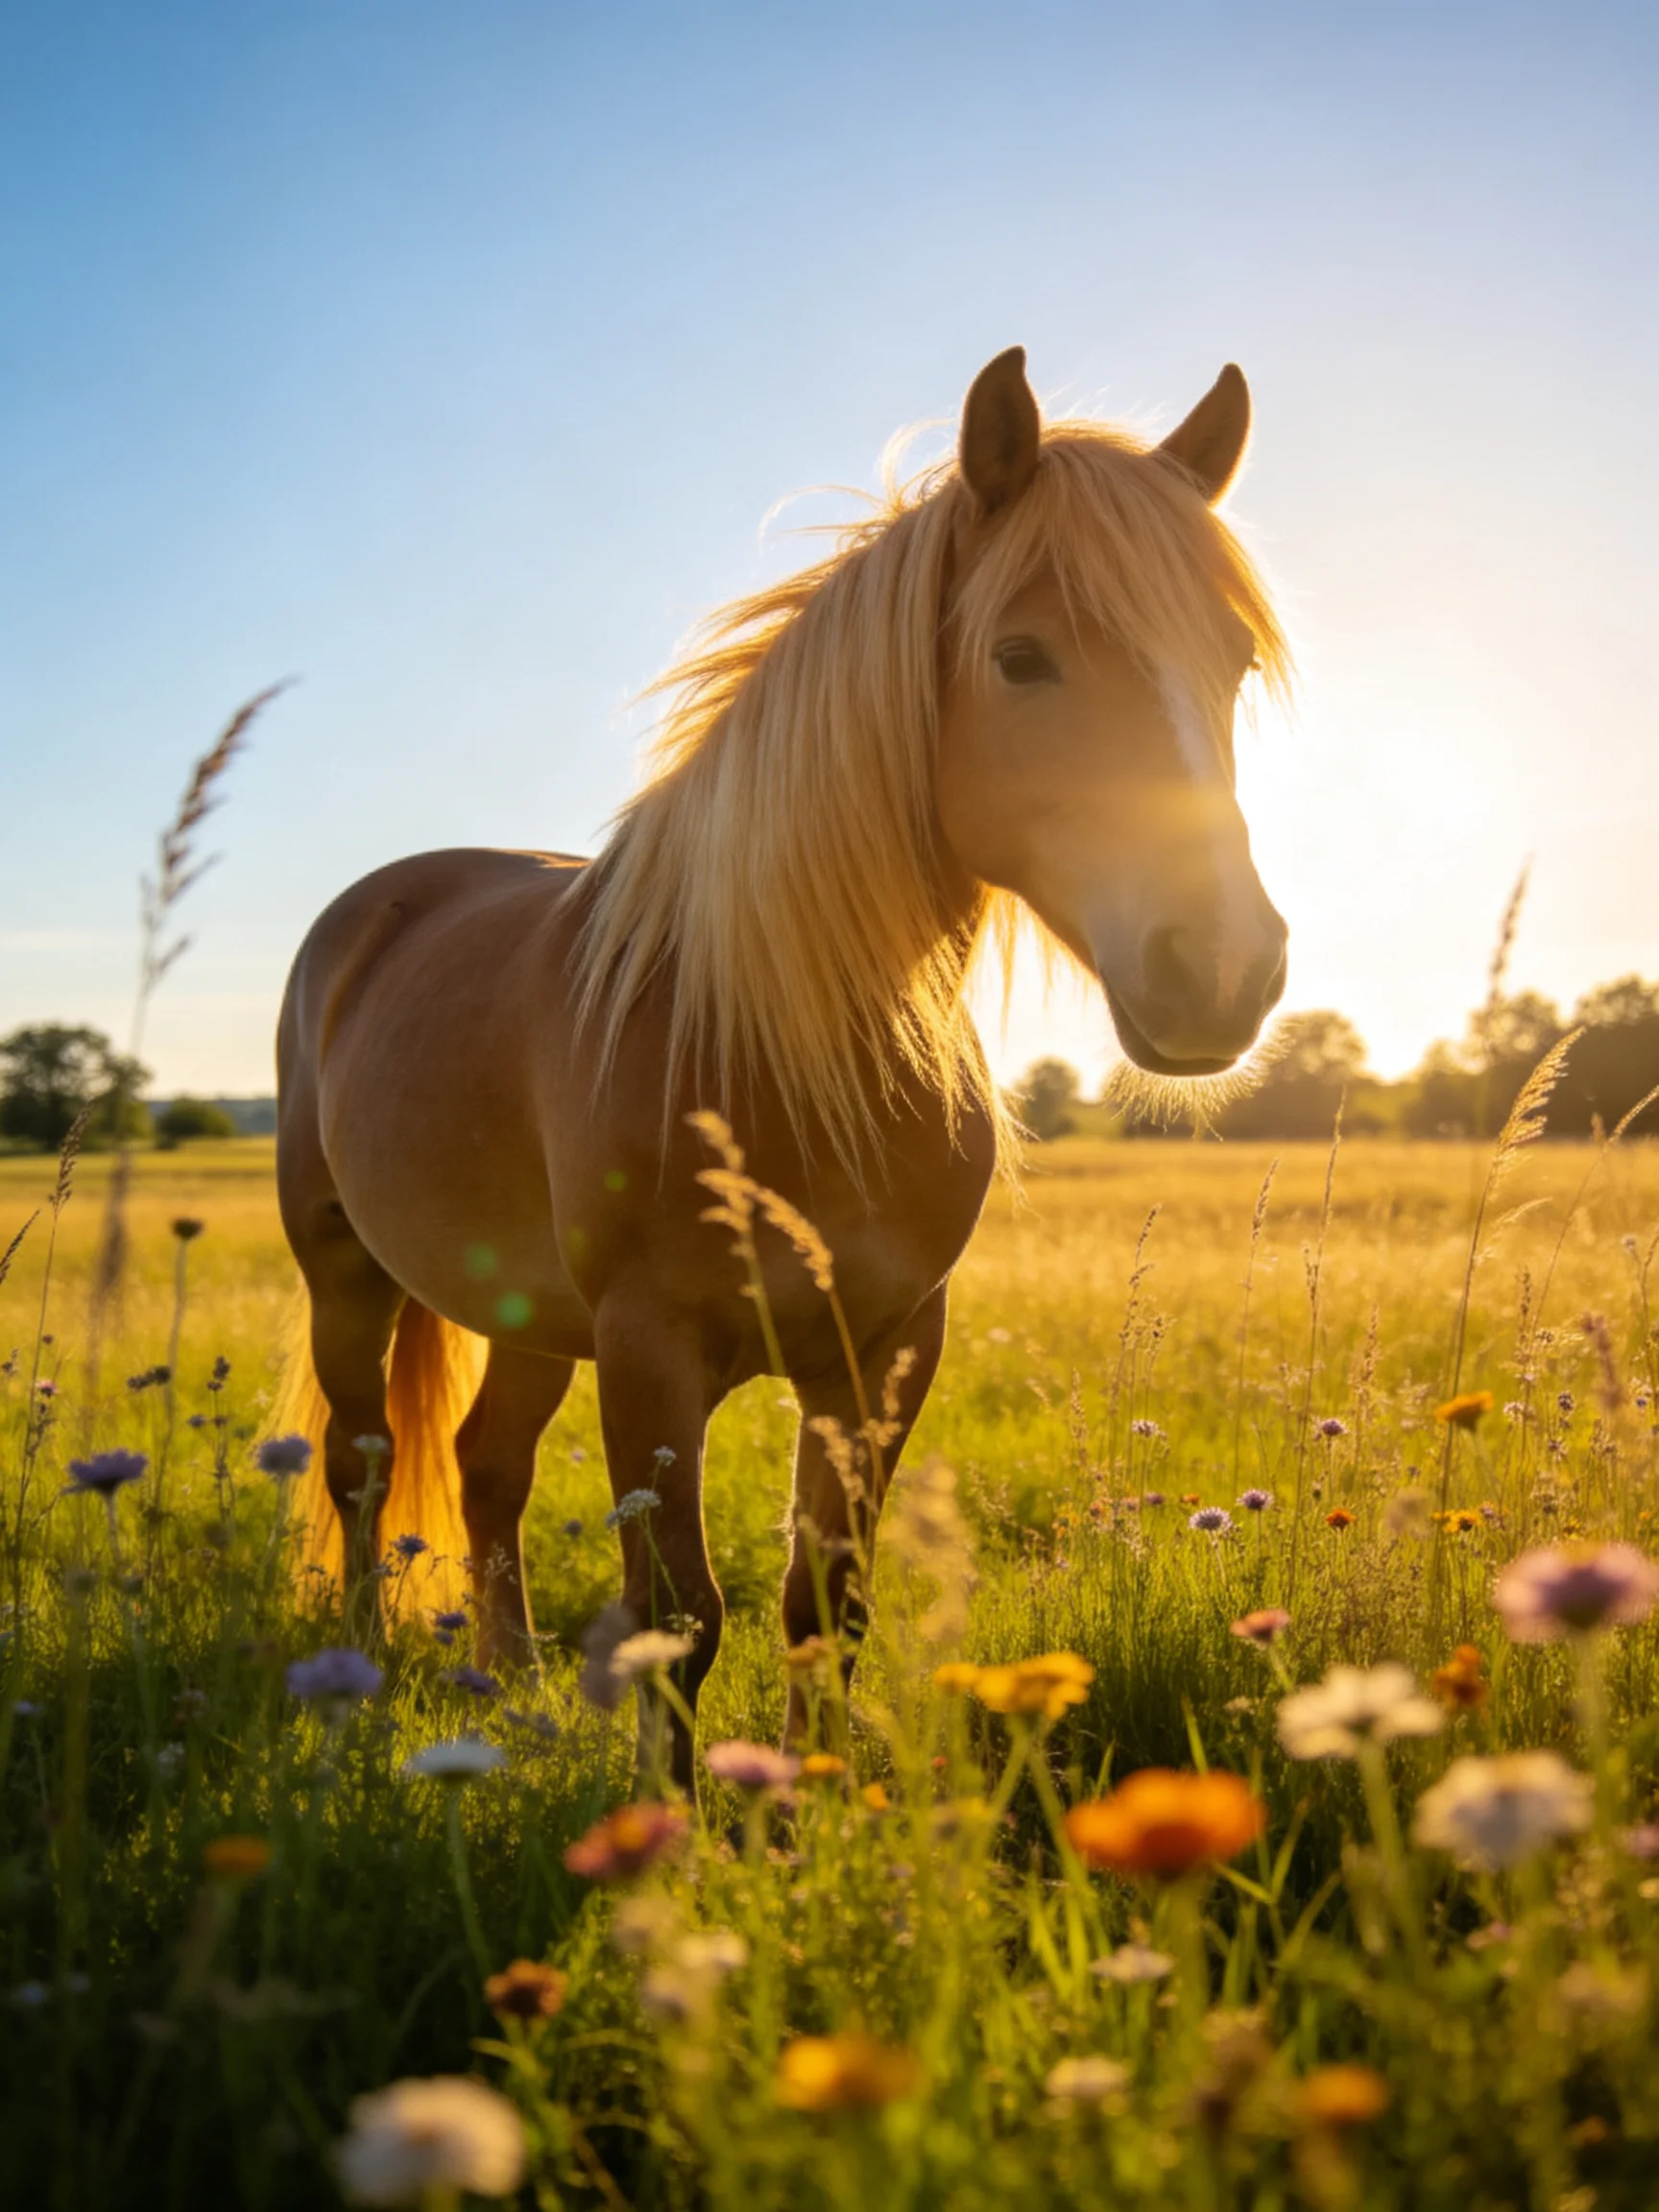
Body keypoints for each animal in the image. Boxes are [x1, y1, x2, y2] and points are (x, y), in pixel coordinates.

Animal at [275, 346, 1292, 1786]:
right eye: (1019, 657)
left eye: (1235, 665)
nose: (1220, 968)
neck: (774, 1039)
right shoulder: (651, 1349)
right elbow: (681, 1615)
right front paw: (674, 1821)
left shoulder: (884, 1351)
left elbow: (827, 1598)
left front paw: (811, 1804)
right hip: (343, 1269)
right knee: (362, 1463)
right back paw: (364, 1672)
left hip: (525, 1313)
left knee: (485, 1465)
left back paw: (509, 1686)